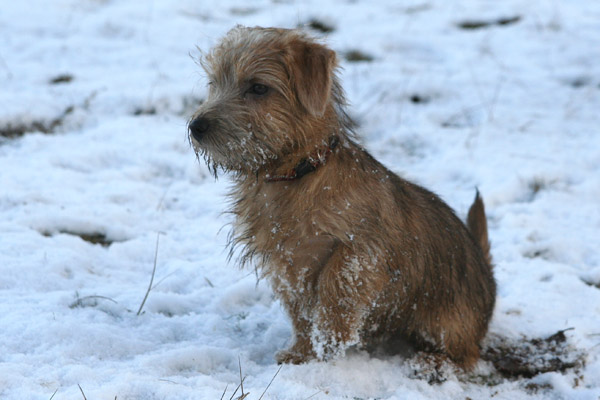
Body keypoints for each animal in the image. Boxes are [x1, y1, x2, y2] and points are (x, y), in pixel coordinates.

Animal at [189, 24, 496, 368]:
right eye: (214, 83)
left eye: (258, 88)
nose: (195, 126)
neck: (296, 175)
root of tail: (486, 271)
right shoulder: (286, 262)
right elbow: (301, 312)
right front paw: (302, 353)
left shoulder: (360, 249)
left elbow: (335, 288)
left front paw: (327, 346)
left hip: (445, 325)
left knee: (466, 355)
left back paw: (430, 362)